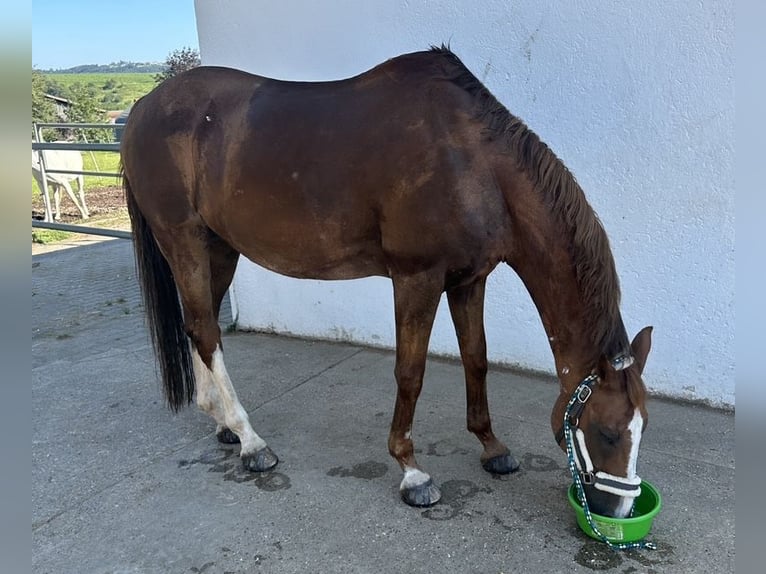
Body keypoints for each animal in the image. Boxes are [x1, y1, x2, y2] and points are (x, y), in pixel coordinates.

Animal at [121, 47, 656, 520]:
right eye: (608, 431)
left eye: (642, 427)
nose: (617, 509)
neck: (473, 161)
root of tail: (144, 108)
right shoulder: (417, 278)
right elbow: (410, 373)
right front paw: (412, 472)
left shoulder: (469, 280)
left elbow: (476, 360)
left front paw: (491, 447)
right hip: (185, 241)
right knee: (206, 331)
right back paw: (252, 442)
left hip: (219, 247)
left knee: (200, 325)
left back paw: (223, 425)